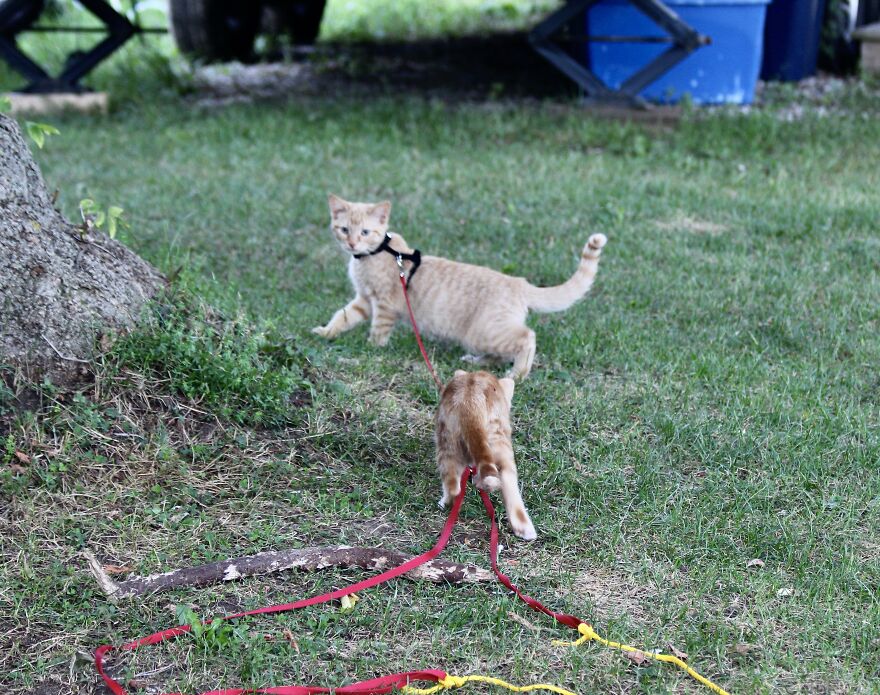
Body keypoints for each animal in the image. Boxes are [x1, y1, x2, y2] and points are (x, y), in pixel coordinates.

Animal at [312, 194, 608, 380]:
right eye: (344, 229)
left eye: (364, 232)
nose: (352, 244)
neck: (375, 254)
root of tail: (518, 283)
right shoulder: (363, 299)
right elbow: (343, 316)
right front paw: (326, 333)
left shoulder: (384, 304)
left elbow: (378, 330)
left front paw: (372, 348)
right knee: (502, 352)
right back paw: (477, 362)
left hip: (484, 332)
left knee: (527, 337)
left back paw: (518, 373)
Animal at [434, 372, 536, 540]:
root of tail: (472, 403)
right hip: (499, 446)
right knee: (509, 486)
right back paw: (525, 529)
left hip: (448, 441)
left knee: (452, 483)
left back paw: (447, 502)